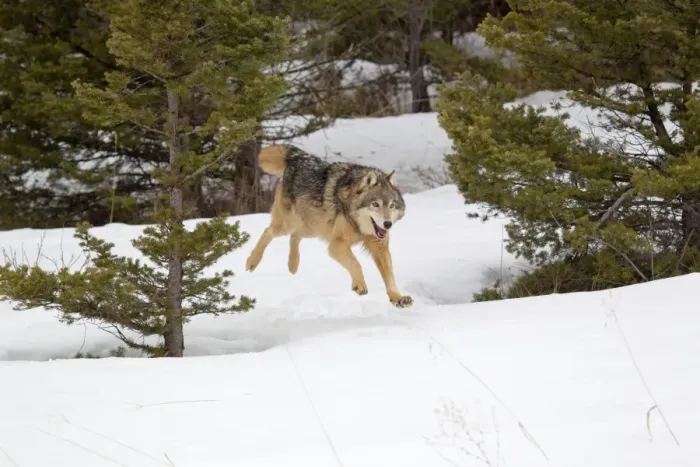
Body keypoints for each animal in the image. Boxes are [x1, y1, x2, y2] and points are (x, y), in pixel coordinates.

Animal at [245, 144, 413, 308]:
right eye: (375, 204)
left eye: (392, 206)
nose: (387, 224)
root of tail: (299, 156)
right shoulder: (336, 244)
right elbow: (355, 263)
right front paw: (360, 285)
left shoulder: (380, 247)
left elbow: (390, 276)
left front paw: (398, 298)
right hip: (288, 225)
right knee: (268, 231)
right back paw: (252, 262)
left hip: (313, 227)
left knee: (295, 236)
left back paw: (293, 265)